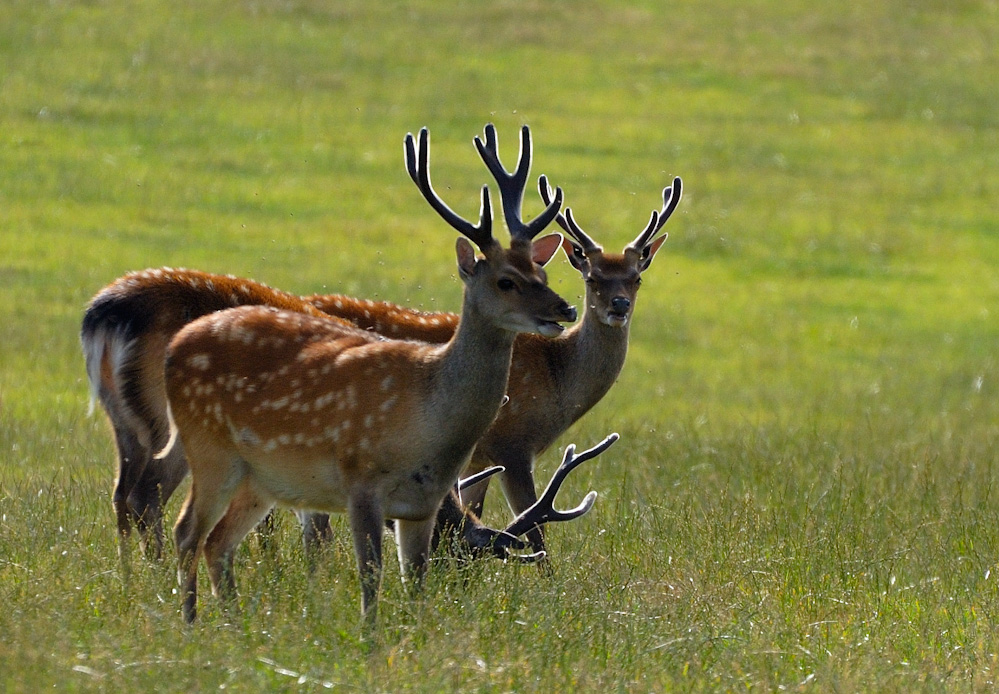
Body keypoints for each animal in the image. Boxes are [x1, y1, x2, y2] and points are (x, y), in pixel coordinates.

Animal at [160, 125, 584, 624]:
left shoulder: (421, 504)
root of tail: (176, 346)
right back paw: (192, 625)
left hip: (260, 479)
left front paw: (414, 634)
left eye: (542, 272)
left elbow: (415, 584)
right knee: (187, 532)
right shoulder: (361, 481)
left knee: (217, 543)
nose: (566, 309)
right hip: (210, 449)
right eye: (506, 280)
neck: (427, 419)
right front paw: (369, 639)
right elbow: (370, 579)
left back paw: (235, 625)